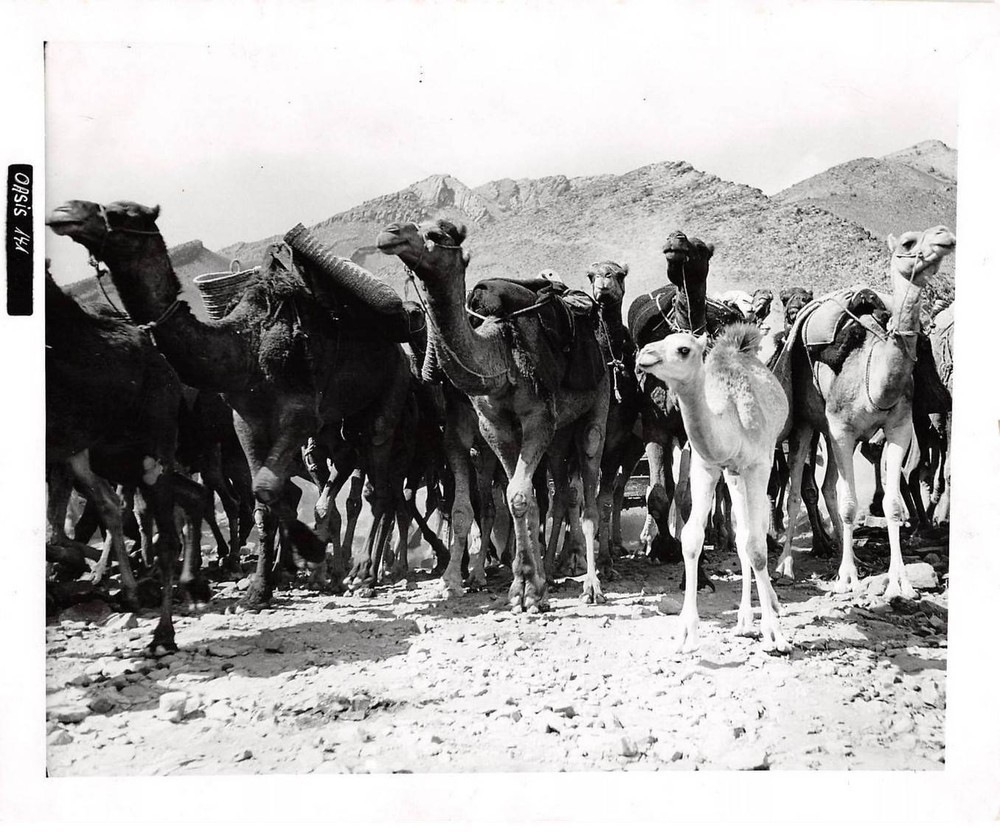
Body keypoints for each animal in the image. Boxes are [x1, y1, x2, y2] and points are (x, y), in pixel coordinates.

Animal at [47, 200, 413, 606]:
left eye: (124, 212)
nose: (65, 212)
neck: (245, 344)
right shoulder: (246, 420)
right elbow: (264, 501)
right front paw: (258, 590)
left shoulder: (298, 414)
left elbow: (265, 489)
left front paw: (303, 554)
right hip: (340, 425)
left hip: (391, 391)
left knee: (380, 488)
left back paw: (363, 574)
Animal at [377, 218, 610, 611]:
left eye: (439, 234)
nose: (389, 234)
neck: (499, 353)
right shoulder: (493, 429)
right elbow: (499, 503)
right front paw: (520, 587)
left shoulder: (536, 420)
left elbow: (517, 496)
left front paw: (528, 590)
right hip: (559, 434)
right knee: (560, 492)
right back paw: (550, 570)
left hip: (597, 407)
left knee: (589, 492)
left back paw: (591, 585)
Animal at [636, 324, 790, 653]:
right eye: (661, 339)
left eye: (683, 349)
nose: (644, 354)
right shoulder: (707, 465)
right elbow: (693, 538)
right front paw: (686, 634)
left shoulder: (758, 464)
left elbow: (758, 547)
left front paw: (775, 635)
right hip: (732, 474)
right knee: (742, 535)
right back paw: (744, 621)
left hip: (759, 461)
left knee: (754, 533)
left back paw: (770, 606)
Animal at [775, 226, 956, 599]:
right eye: (908, 243)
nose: (944, 235)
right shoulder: (843, 430)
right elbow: (848, 504)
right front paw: (846, 579)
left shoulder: (897, 427)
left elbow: (892, 504)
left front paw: (900, 582)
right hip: (806, 424)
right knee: (798, 490)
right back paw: (785, 565)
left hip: (832, 432)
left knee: (829, 486)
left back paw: (847, 556)